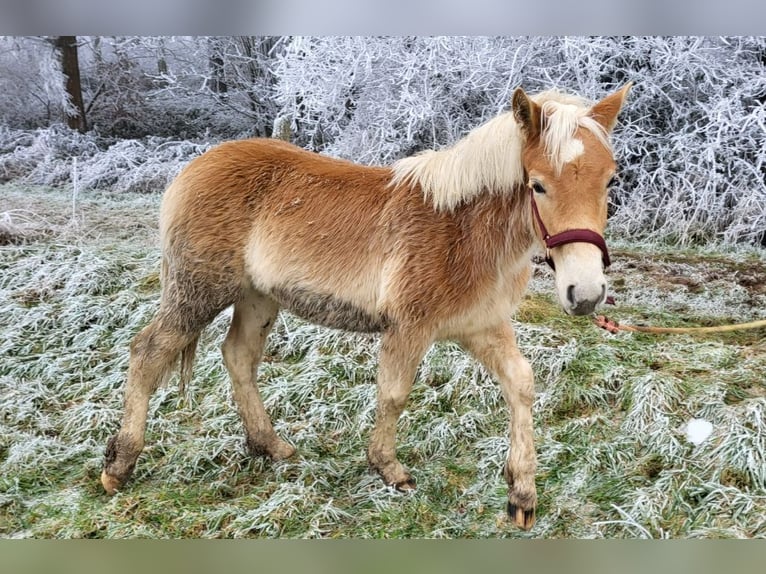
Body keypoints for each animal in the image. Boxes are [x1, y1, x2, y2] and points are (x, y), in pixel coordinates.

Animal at [100, 84, 632, 532]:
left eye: (609, 180)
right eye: (538, 185)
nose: (586, 293)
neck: (460, 230)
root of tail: (193, 169)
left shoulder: (482, 327)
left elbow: (520, 384)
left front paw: (521, 494)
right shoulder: (409, 329)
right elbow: (393, 395)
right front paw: (389, 469)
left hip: (257, 296)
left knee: (239, 357)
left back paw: (269, 445)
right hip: (197, 292)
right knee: (148, 353)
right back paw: (120, 464)